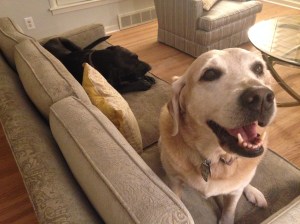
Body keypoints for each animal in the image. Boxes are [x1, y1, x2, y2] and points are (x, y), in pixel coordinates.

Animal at [159, 48, 276, 224]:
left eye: (258, 68)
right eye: (210, 74)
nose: (261, 96)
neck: (214, 158)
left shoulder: (234, 193)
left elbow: (229, 210)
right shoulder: (174, 183)